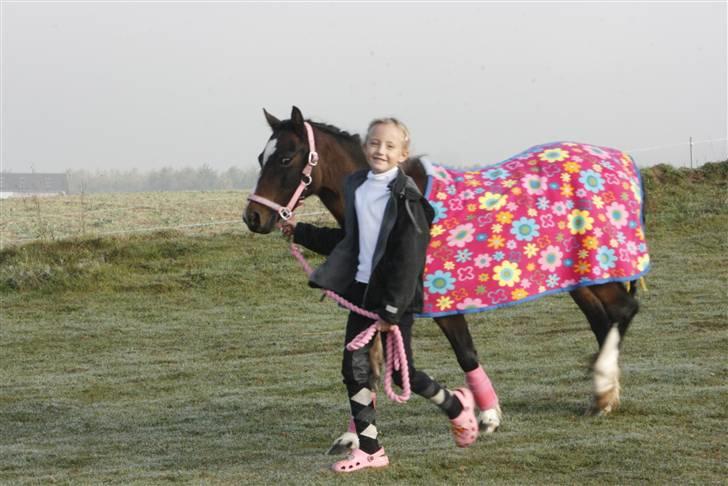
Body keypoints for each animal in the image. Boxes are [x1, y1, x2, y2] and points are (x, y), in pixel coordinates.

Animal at [245, 107, 648, 448]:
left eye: (285, 158)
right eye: (261, 157)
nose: (253, 217)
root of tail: (621, 161)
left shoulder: (438, 303)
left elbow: (464, 353)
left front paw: (484, 415)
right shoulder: (375, 308)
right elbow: (369, 369)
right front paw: (353, 437)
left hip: (598, 270)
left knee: (624, 309)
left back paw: (602, 383)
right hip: (580, 276)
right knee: (603, 320)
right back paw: (603, 395)